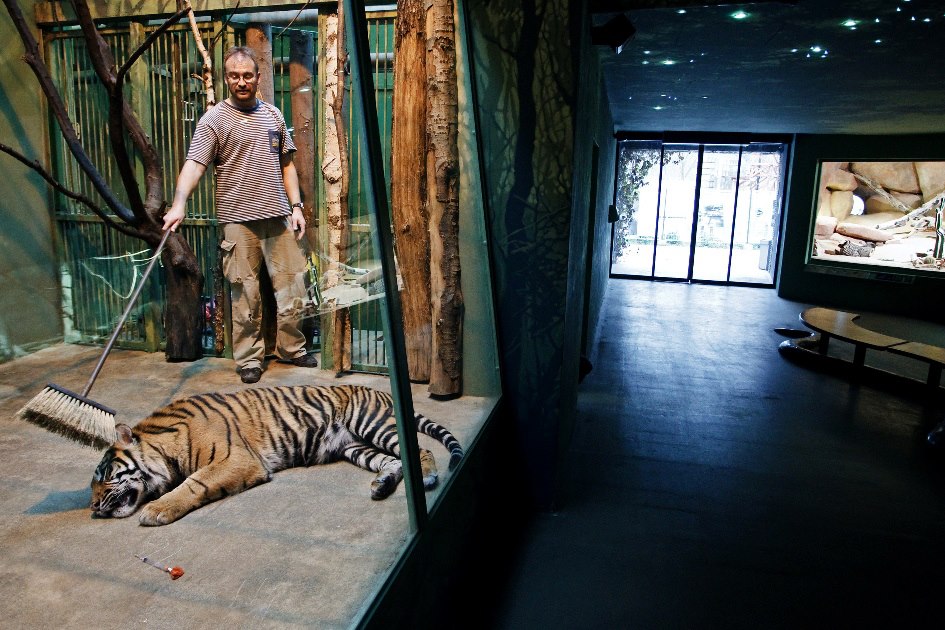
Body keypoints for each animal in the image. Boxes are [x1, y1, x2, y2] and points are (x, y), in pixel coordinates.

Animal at [90, 386, 466, 528]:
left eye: (106, 475)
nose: (93, 507)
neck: (167, 446)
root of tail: (379, 390)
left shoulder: (235, 459)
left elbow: (195, 483)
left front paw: (156, 510)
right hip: (355, 446)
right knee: (394, 462)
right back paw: (382, 485)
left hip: (372, 424)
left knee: (419, 449)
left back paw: (428, 476)